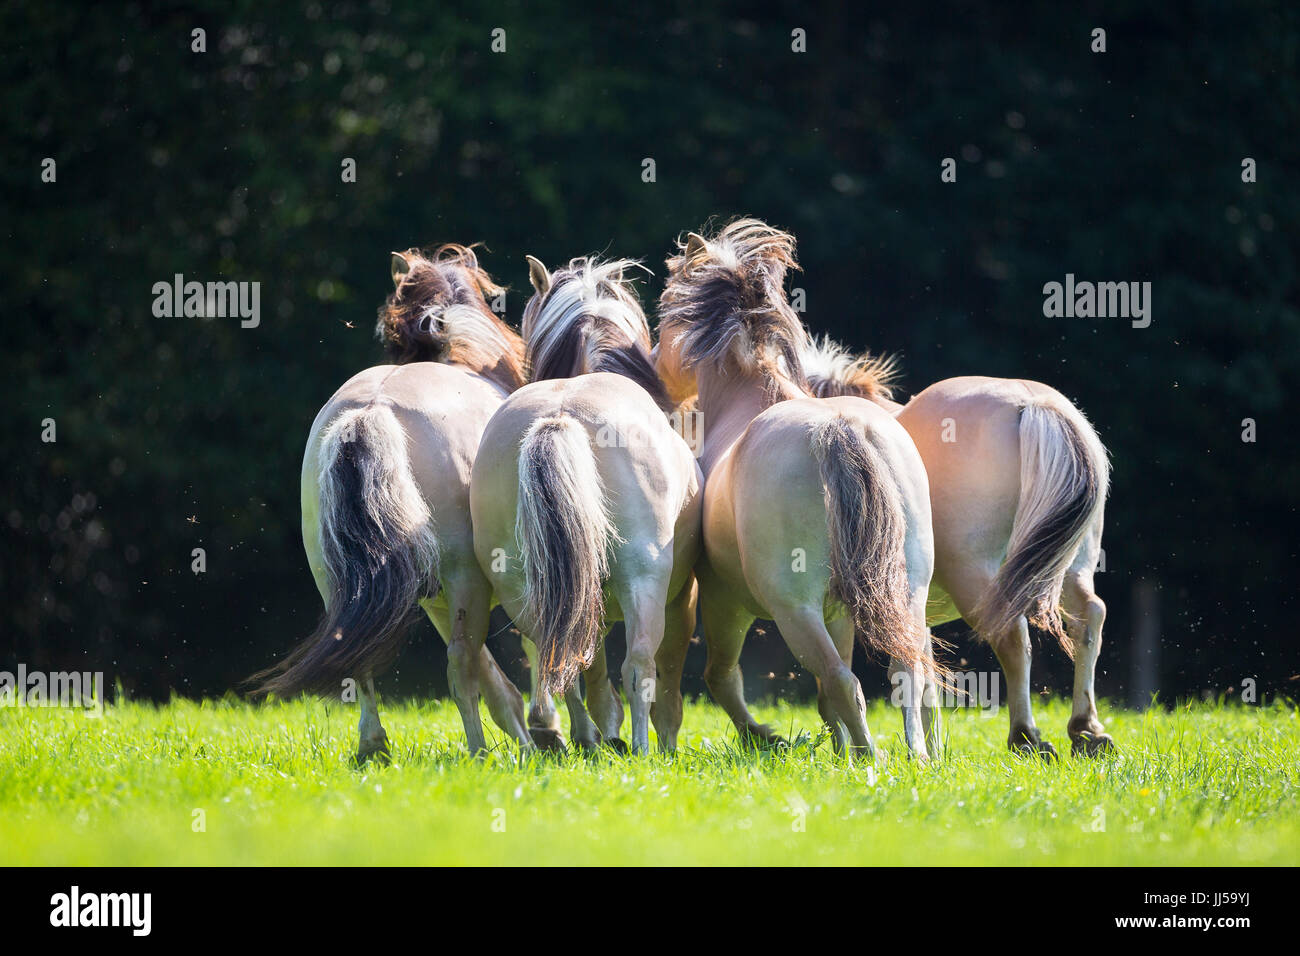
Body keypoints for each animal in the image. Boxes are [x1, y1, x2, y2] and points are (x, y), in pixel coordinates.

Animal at [248, 247, 533, 764]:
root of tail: (372, 411)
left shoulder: (439, 597)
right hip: (463, 579)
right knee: (459, 666)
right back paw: (478, 752)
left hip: (340, 582)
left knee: (356, 657)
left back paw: (373, 748)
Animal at [473, 254, 702, 754]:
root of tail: (558, 418)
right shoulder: (679, 596)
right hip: (643, 580)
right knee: (638, 668)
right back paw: (638, 749)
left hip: (522, 586)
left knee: (559, 661)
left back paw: (581, 737)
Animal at [655, 222, 941, 764]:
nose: (657, 370)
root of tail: (839, 428)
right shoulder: (840, 611)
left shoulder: (725, 601)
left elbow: (722, 678)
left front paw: (767, 737)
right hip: (906, 591)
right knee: (909, 672)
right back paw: (919, 756)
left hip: (793, 611)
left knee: (844, 681)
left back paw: (871, 758)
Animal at [800, 335, 1107, 754]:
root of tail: (1034, 403)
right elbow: (925, 682)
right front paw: (935, 752)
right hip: (1072, 566)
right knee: (1089, 617)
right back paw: (1087, 729)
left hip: (975, 575)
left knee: (1012, 634)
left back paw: (1025, 734)